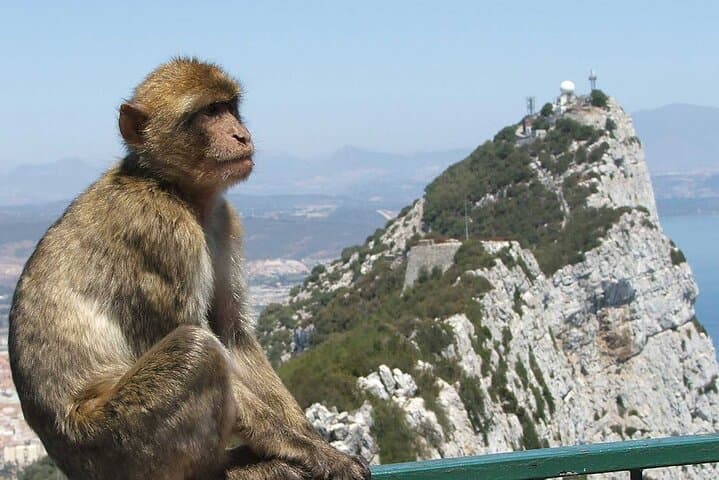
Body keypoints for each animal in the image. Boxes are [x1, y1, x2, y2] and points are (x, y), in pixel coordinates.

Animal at [8, 57, 371, 480]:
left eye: (229, 107)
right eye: (209, 112)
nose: (241, 134)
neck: (169, 186)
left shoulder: (223, 220)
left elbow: (232, 335)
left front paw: (311, 439)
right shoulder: (163, 233)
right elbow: (204, 339)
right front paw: (311, 452)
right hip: (120, 443)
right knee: (196, 351)